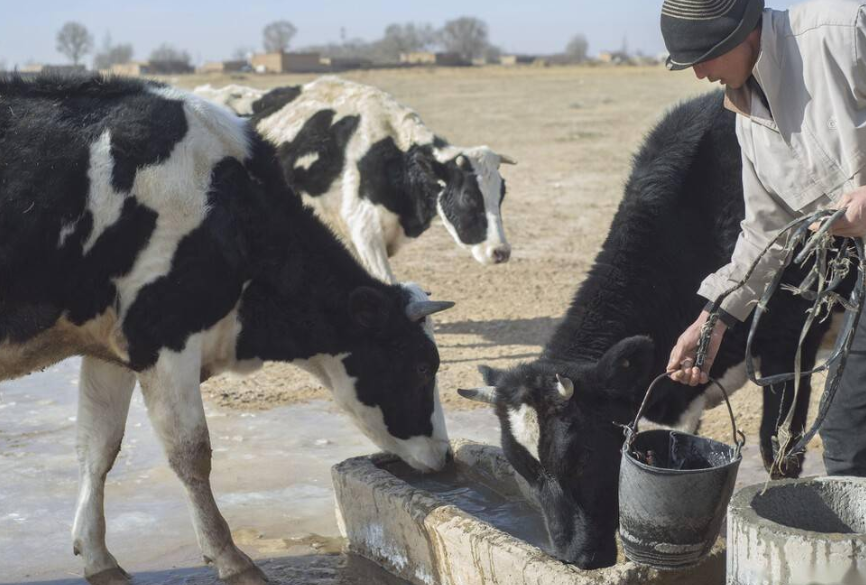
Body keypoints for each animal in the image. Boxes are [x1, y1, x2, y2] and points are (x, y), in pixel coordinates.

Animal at [0, 74, 456, 584]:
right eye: (422, 366)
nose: (446, 454)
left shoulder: (111, 347)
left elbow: (98, 447)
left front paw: (98, 557)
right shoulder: (165, 337)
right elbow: (191, 453)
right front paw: (230, 556)